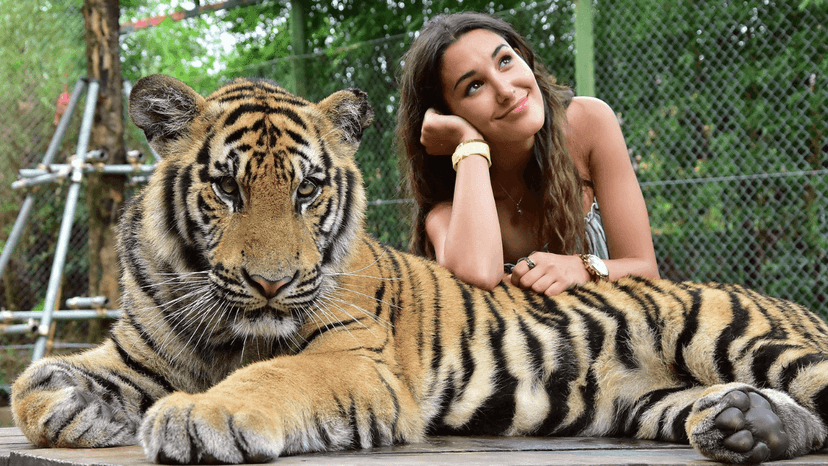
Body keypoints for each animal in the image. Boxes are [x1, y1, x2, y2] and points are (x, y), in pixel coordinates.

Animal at [10, 74, 828, 465]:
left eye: (306, 189)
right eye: (227, 188)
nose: (272, 284)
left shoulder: (354, 360)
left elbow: (273, 376)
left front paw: (198, 415)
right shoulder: (136, 352)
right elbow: (31, 384)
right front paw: (82, 408)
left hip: (735, 334)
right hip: (649, 402)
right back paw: (747, 424)